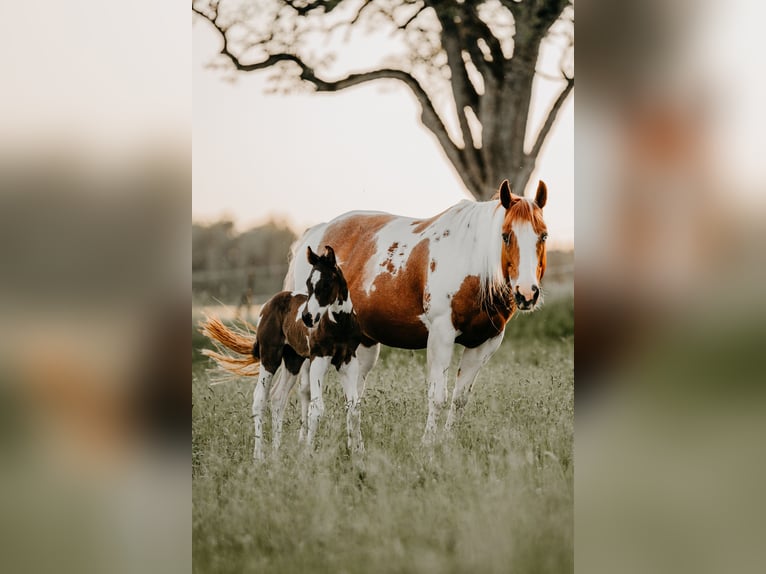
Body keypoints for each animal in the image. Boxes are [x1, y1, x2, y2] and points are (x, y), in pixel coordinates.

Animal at [200, 245, 364, 460]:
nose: (307, 318)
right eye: (308, 284)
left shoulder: (347, 360)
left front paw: (357, 453)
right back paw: (258, 455)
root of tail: (268, 304)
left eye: (327, 283)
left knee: (278, 398)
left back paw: (276, 452)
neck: (339, 323)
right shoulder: (319, 358)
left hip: (293, 360)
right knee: (260, 399)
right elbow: (316, 408)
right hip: (270, 357)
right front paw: (308, 454)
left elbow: (354, 406)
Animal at [279, 179, 549, 443]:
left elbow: (459, 400)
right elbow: (437, 396)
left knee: (354, 397)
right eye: (505, 236)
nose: (527, 293)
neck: (472, 262)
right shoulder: (441, 336)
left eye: (543, 236)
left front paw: (447, 444)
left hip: (363, 345)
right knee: (306, 391)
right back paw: (304, 441)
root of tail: (318, 232)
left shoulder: (484, 343)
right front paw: (428, 445)